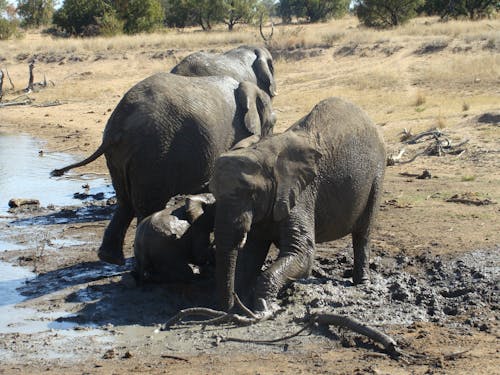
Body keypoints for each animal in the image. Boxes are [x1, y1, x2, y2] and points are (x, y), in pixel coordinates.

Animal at [52, 72, 276, 268]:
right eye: (272, 123)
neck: (246, 87)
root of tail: (118, 125)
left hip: (121, 158)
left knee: (125, 202)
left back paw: (111, 259)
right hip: (153, 155)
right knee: (147, 205)